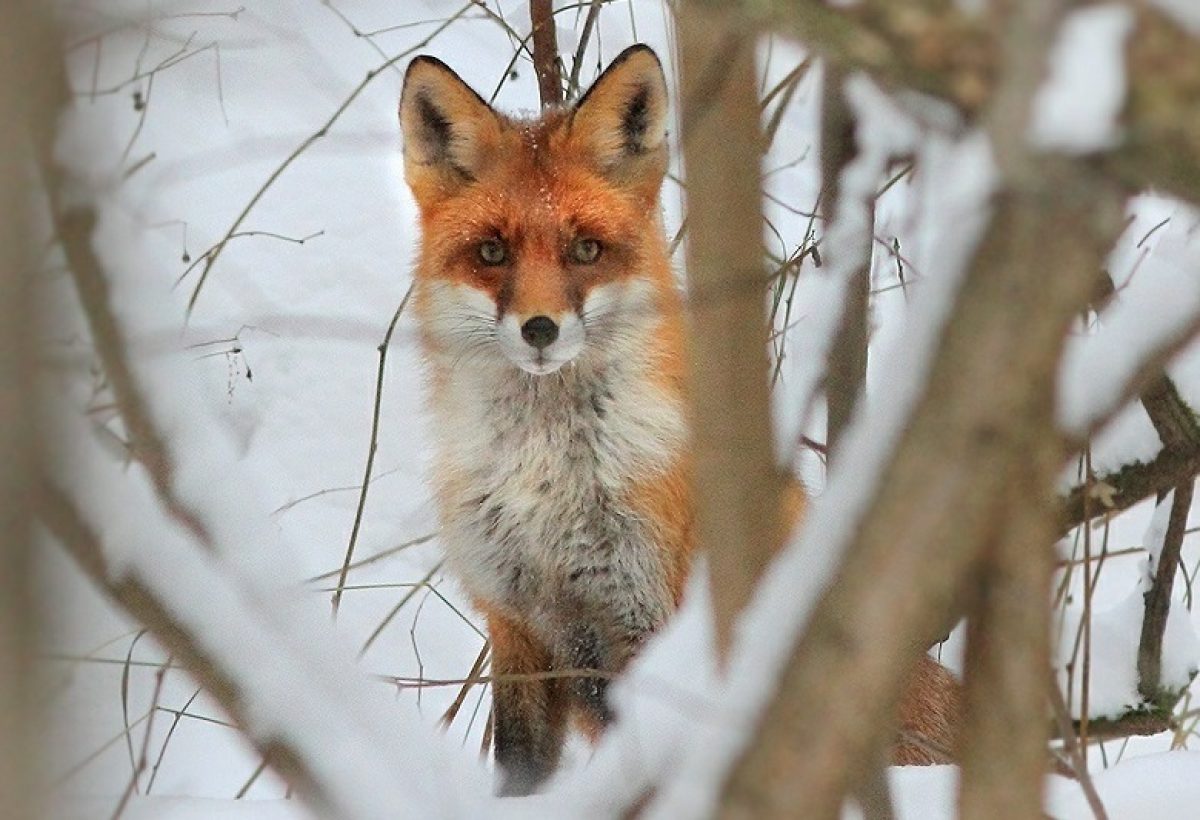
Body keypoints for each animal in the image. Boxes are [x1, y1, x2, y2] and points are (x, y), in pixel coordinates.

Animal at [398, 43, 960, 797]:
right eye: (492, 253)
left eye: (585, 250)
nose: (540, 329)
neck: (549, 479)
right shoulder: (518, 624)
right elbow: (519, 773)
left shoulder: (650, 625)